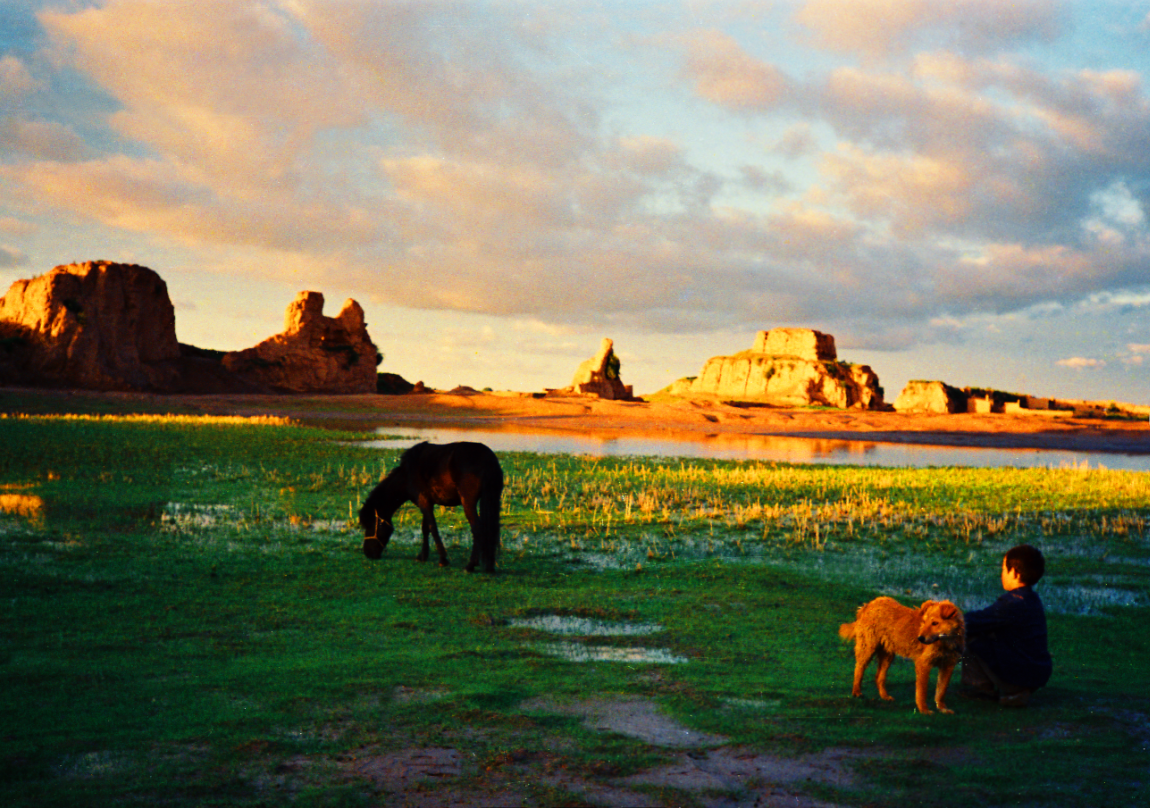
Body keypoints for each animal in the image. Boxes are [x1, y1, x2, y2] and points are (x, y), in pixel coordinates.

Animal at [358, 445, 503, 572]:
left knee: (477, 529)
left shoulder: (424, 503)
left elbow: (432, 527)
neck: (408, 473)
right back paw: (489, 567)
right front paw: (422, 556)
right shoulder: (427, 503)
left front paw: (442, 559)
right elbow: (425, 528)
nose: (368, 553)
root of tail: (488, 458)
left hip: (468, 503)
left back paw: (470, 565)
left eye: (370, 525)